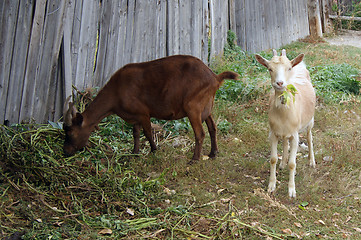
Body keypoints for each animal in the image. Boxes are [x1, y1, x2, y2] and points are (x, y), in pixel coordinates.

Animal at [63, 55, 238, 162]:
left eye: (70, 133)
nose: (66, 151)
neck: (117, 92)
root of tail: (215, 77)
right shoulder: (133, 116)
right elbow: (135, 133)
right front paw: (134, 152)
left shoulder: (143, 113)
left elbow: (147, 132)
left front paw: (154, 150)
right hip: (207, 106)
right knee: (213, 127)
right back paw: (213, 153)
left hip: (193, 106)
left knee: (200, 133)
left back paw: (194, 159)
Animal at [253, 49, 316, 198]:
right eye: (269, 68)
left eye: (288, 68)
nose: (280, 83)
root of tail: (300, 66)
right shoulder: (273, 133)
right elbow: (273, 159)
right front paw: (271, 186)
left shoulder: (295, 135)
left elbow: (293, 164)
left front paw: (291, 191)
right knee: (285, 141)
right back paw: (283, 163)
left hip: (310, 120)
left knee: (309, 136)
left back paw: (311, 161)